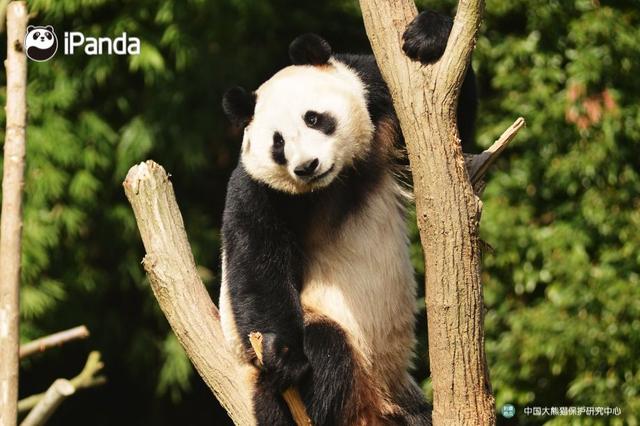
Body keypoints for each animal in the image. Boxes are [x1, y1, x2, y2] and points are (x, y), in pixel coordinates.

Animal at [220, 10, 476, 426]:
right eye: (278, 143)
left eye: (313, 118)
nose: (307, 166)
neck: (336, 179)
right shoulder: (259, 190)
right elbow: (256, 261)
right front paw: (285, 356)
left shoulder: (380, 104)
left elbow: (454, 129)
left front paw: (429, 35)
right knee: (324, 346)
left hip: (399, 388)